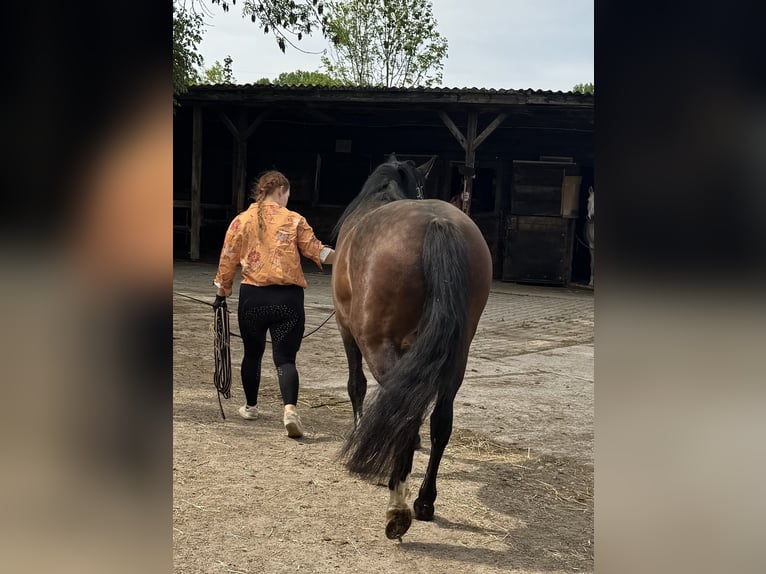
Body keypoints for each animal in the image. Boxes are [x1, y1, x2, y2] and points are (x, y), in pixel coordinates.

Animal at [331, 154, 493, 540]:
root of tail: (438, 223)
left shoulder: (346, 330)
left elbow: (356, 385)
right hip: (455, 358)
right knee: (440, 420)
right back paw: (424, 502)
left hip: (377, 345)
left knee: (404, 411)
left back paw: (398, 507)